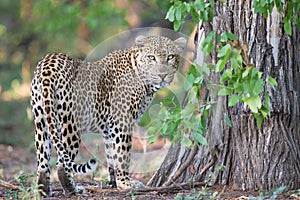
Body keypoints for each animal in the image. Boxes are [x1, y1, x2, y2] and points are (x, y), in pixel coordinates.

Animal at [29, 35, 185, 196]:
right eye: (151, 57)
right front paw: (125, 183)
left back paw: (44, 191)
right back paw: (73, 190)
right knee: (62, 164)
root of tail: (48, 63)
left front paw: (113, 182)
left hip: (41, 119)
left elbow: (111, 155)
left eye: (170, 57)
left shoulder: (109, 128)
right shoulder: (122, 122)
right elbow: (122, 154)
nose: (162, 75)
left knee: (42, 162)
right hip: (70, 123)